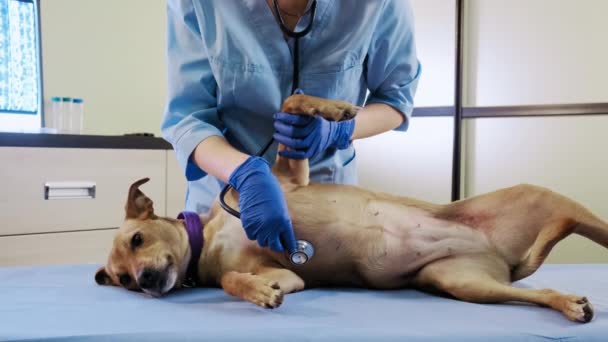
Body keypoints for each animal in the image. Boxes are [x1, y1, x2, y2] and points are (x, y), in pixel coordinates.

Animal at [94, 94, 604, 324]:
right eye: (124, 282)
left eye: (137, 239)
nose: (146, 281)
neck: (209, 238)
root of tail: (503, 259)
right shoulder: (287, 273)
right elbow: (239, 280)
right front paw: (258, 293)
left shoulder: (285, 178)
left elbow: (293, 99)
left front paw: (333, 111)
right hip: (465, 283)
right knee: (535, 293)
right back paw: (566, 302)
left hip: (554, 204)